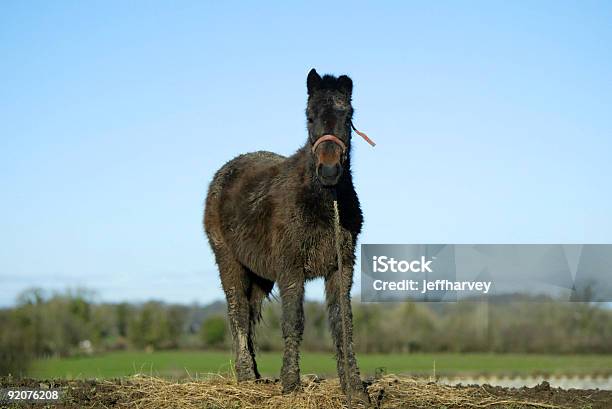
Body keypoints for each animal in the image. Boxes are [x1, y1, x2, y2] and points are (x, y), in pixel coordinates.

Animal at [204, 69, 368, 398]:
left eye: (347, 116)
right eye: (309, 116)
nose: (329, 171)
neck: (323, 202)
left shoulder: (341, 267)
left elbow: (342, 321)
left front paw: (354, 387)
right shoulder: (291, 269)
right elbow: (294, 321)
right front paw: (291, 384)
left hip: (260, 275)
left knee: (250, 314)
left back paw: (255, 376)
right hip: (228, 261)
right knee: (237, 311)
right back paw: (245, 376)